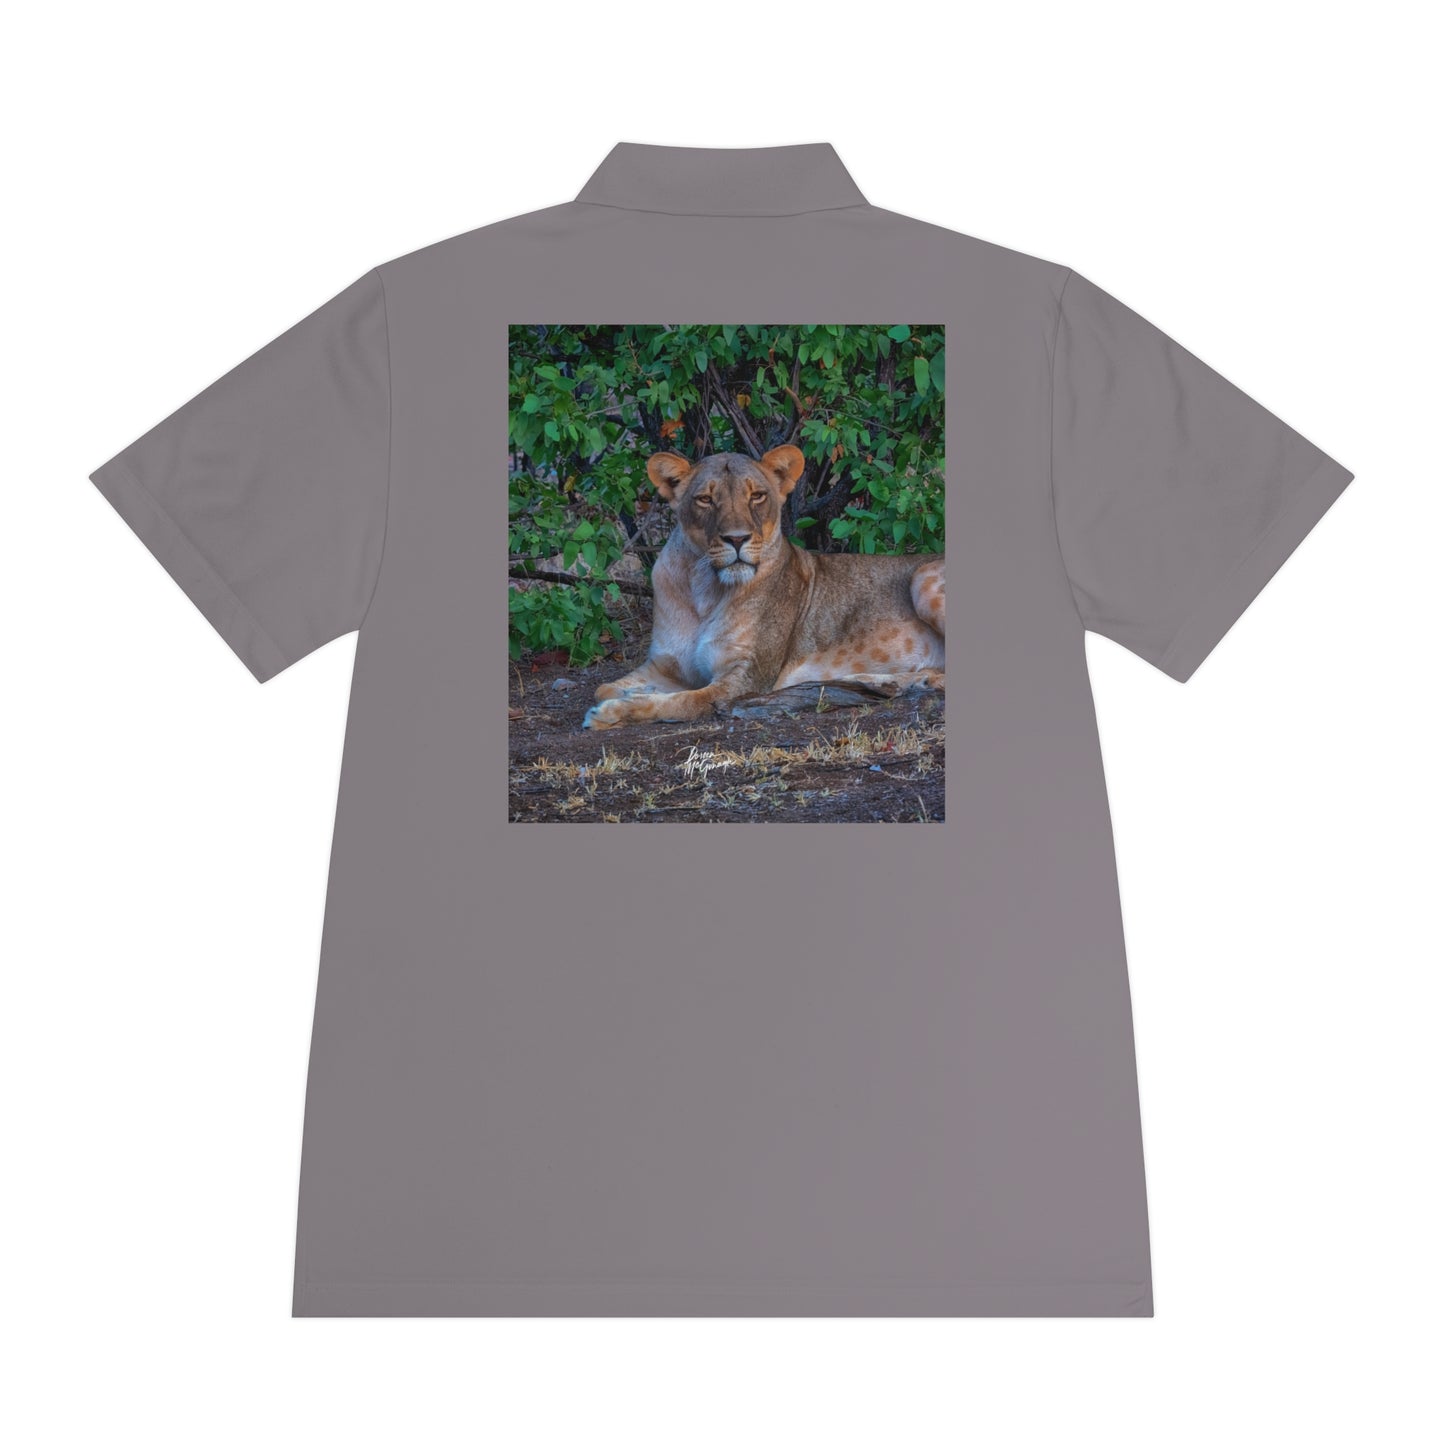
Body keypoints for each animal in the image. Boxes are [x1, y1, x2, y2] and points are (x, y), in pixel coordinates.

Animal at [582, 445, 944, 729]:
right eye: (705, 499)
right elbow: (604, 687)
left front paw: (613, 713)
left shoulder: (745, 679)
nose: (737, 539)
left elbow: (682, 702)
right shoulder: (664, 665)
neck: (704, 588)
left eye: (756, 496)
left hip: (923, 577)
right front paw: (624, 695)